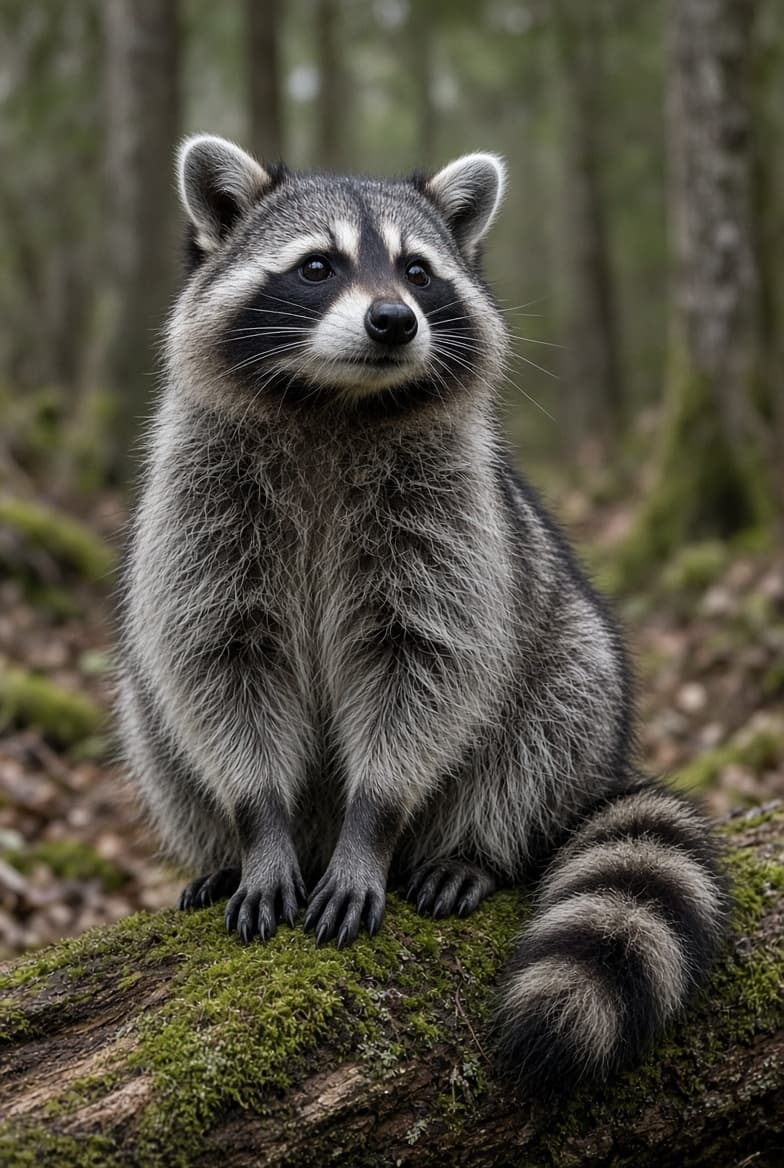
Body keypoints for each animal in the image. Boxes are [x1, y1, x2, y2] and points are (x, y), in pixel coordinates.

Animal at [119, 134, 727, 1091]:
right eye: (318, 266)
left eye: (417, 270)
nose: (393, 321)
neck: (335, 403)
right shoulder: (199, 518)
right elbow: (218, 661)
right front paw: (257, 827)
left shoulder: (451, 528)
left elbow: (425, 666)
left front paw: (373, 825)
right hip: (150, 697)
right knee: (151, 705)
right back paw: (219, 854)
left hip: (569, 664)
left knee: (553, 709)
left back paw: (473, 850)